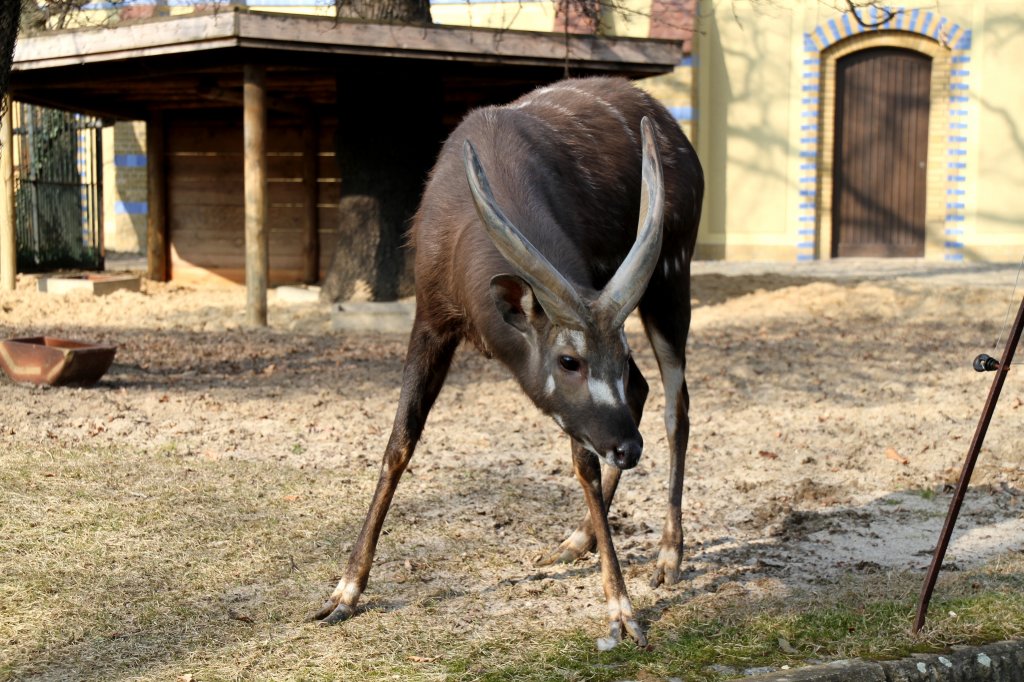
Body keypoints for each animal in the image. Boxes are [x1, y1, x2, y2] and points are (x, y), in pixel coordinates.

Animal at [315, 76, 704, 647]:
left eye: (612, 353)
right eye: (569, 360)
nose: (630, 448)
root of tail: (680, 138)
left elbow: (583, 463)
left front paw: (622, 612)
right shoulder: (430, 319)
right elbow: (399, 444)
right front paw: (344, 593)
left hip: (673, 278)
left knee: (675, 404)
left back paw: (668, 556)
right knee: (644, 390)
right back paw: (577, 540)